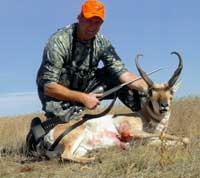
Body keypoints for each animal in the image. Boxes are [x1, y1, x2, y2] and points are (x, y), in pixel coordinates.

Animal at [39, 51, 189, 163]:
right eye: (151, 92)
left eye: (171, 92)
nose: (164, 106)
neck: (144, 117)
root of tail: (49, 133)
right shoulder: (133, 132)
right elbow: (176, 137)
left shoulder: (152, 141)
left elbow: (178, 140)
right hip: (76, 138)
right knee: (65, 156)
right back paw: (96, 159)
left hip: (82, 149)